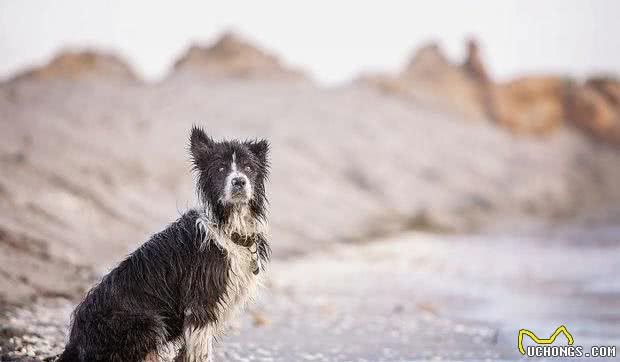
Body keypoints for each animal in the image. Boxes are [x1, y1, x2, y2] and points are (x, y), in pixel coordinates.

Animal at [56, 126, 272, 360]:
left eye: (248, 167)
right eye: (221, 168)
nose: (239, 181)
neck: (229, 228)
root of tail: (75, 343)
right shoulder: (201, 305)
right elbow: (202, 352)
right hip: (147, 321)